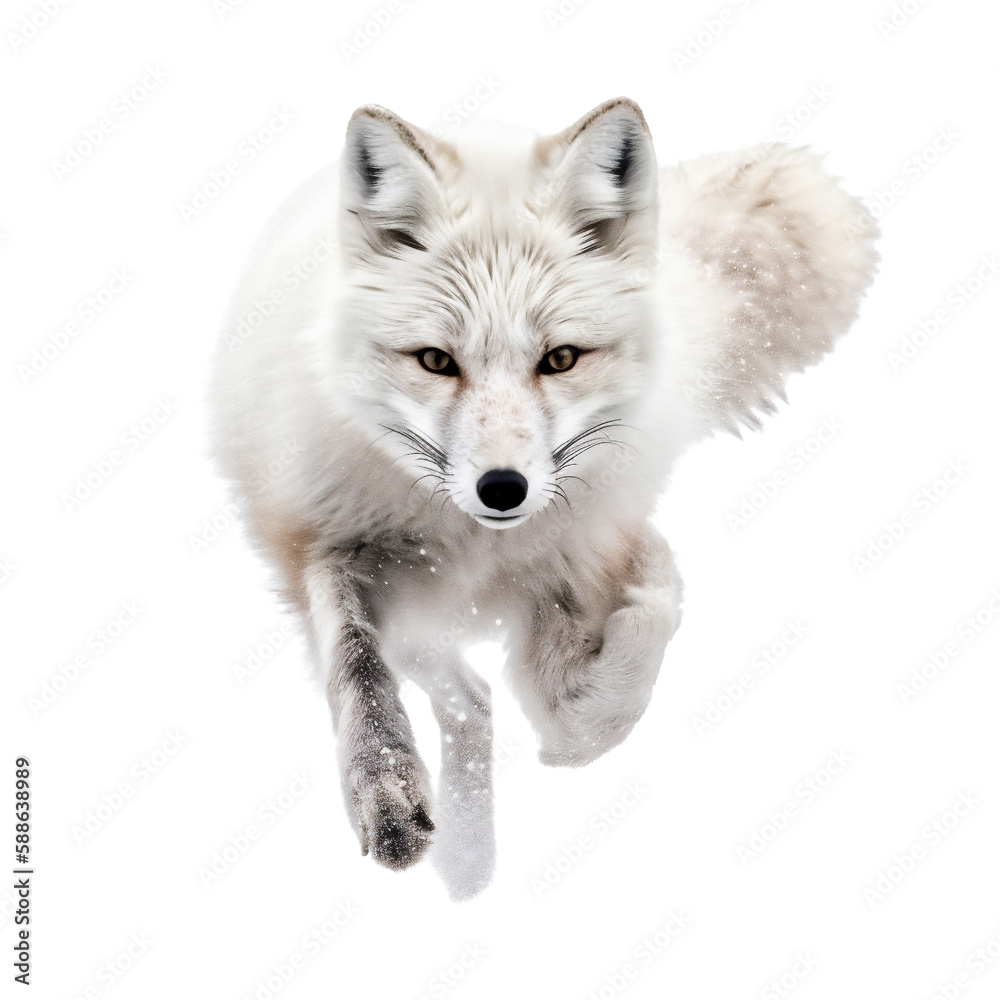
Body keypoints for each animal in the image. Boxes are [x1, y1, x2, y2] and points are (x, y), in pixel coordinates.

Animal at [208, 97, 878, 899]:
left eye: (559, 359)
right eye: (435, 361)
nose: (503, 488)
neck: (474, 545)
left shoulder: (573, 564)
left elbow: (590, 710)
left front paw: (622, 640)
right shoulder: (320, 541)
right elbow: (359, 673)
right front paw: (386, 792)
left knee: (476, 697)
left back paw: (470, 857)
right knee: (462, 695)